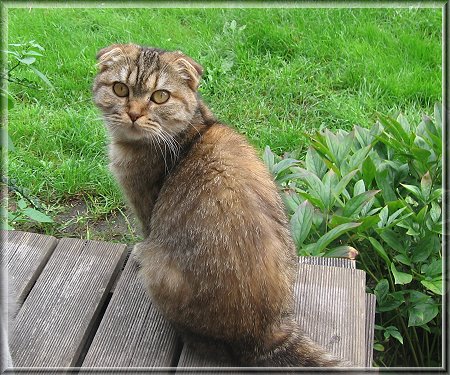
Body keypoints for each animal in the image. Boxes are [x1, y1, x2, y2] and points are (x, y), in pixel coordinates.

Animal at [92, 43, 352, 368]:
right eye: (120, 89)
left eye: (160, 96)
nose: (134, 114)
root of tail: (267, 333)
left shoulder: (145, 207)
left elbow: (143, 233)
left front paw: (137, 250)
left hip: (159, 268)